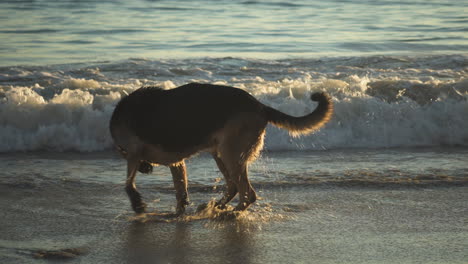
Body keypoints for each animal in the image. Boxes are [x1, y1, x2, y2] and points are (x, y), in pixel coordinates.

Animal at [109, 82, 332, 214]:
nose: (147, 169)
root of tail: (260, 106)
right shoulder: (176, 162)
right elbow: (180, 191)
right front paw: (178, 213)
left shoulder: (133, 154)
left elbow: (128, 184)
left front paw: (138, 204)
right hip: (220, 154)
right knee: (234, 186)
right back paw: (217, 206)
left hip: (230, 153)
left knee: (247, 192)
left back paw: (233, 213)